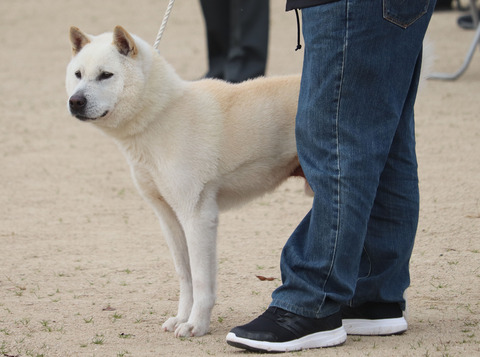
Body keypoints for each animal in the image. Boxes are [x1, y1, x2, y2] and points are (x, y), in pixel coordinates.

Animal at [66, 26, 304, 336]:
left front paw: (196, 325)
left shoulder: (198, 216)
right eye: (78, 74)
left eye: (106, 75)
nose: (75, 101)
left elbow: (202, 281)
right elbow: (185, 275)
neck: (162, 115)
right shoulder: (169, 218)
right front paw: (181, 318)